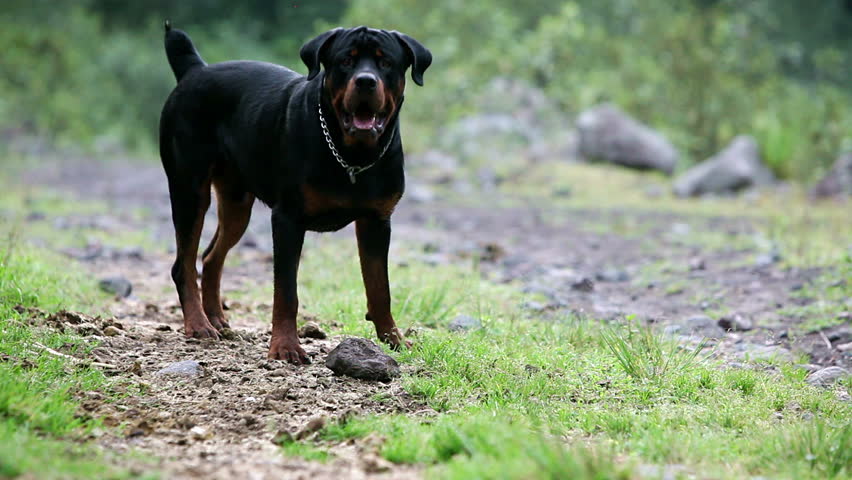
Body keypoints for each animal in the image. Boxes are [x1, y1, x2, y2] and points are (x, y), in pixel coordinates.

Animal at [159, 21, 430, 364]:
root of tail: (194, 70)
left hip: (236, 202)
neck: (351, 156)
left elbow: (380, 287)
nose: (366, 81)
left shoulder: (377, 221)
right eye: (346, 60)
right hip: (189, 190)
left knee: (210, 256)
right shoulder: (288, 220)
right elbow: (286, 292)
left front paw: (392, 340)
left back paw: (216, 317)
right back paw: (198, 324)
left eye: (386, 63)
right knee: (183, 264)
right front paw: (286, 346)